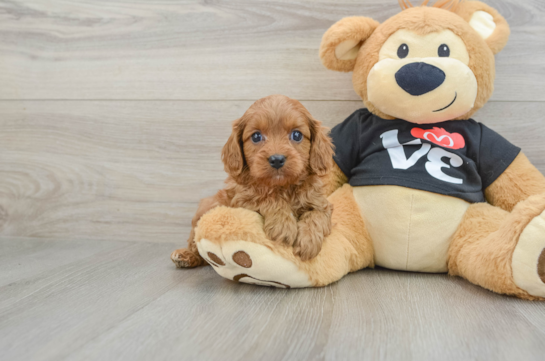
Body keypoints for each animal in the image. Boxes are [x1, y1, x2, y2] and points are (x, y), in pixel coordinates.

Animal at [170, 94, 334, 266]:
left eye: (297, 135)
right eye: (256, 136)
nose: (277, 159)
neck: (282, 186)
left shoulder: (320, 203)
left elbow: (317, 215)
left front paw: (308, 241)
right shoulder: (243, 200)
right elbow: (268, 199)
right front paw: (283, 225)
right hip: (207, 207)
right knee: (195, 243)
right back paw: (186, 255)